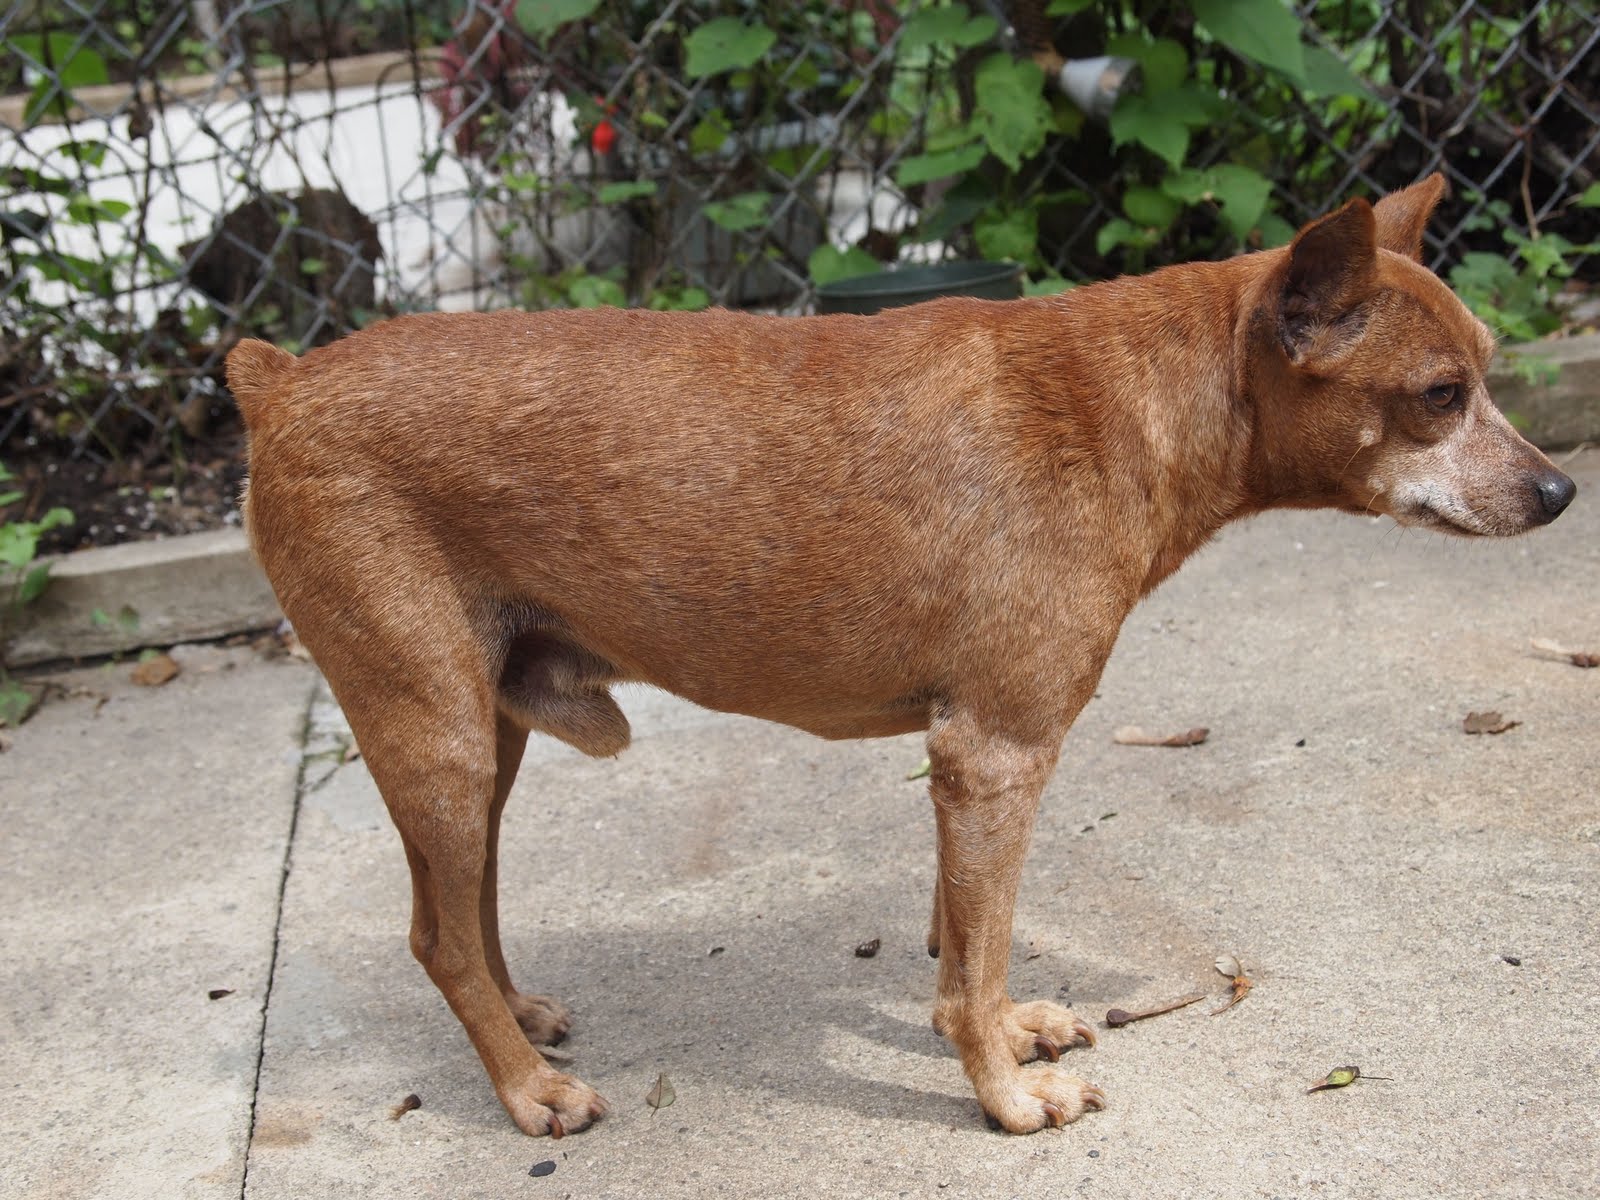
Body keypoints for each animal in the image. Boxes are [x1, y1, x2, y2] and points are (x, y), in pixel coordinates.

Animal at [225, 176, 1574, 1139]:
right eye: (1440, 395)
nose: (1561, 493)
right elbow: (971, 957)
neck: (1134, 403)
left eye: (1486, 371)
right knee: (438, 935)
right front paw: (1005, 1099)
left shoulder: (963, 765)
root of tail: (278, 382)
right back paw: (523, 1093)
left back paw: (521, 1016)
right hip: (440, 741)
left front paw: (1008, 1034)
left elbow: (967, 942)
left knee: (464, 909)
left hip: (486, 741)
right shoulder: (995, 756)